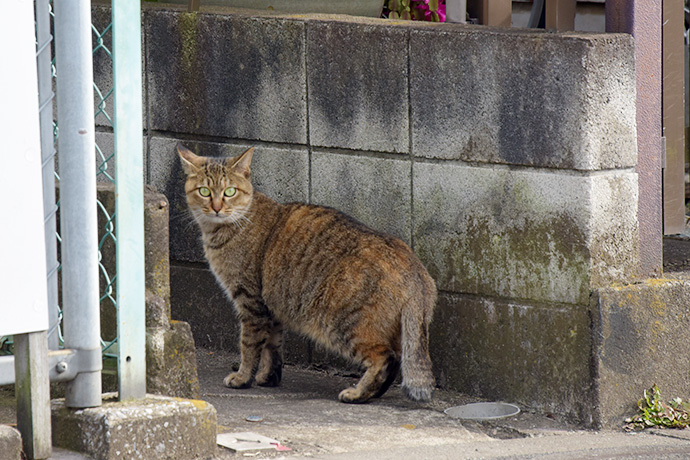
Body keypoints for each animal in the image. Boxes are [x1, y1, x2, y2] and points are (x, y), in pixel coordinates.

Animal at [177, 145, 436, 402]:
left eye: (229, 191)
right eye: (204, 191)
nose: (217, 208)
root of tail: (417, 271)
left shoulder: (250, 302)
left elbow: (249, 346)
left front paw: (242, 377)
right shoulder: (272, 307)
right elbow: (272, 346)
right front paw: (268, 377)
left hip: (344, 323)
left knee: (385, 358)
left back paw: (357, 393)